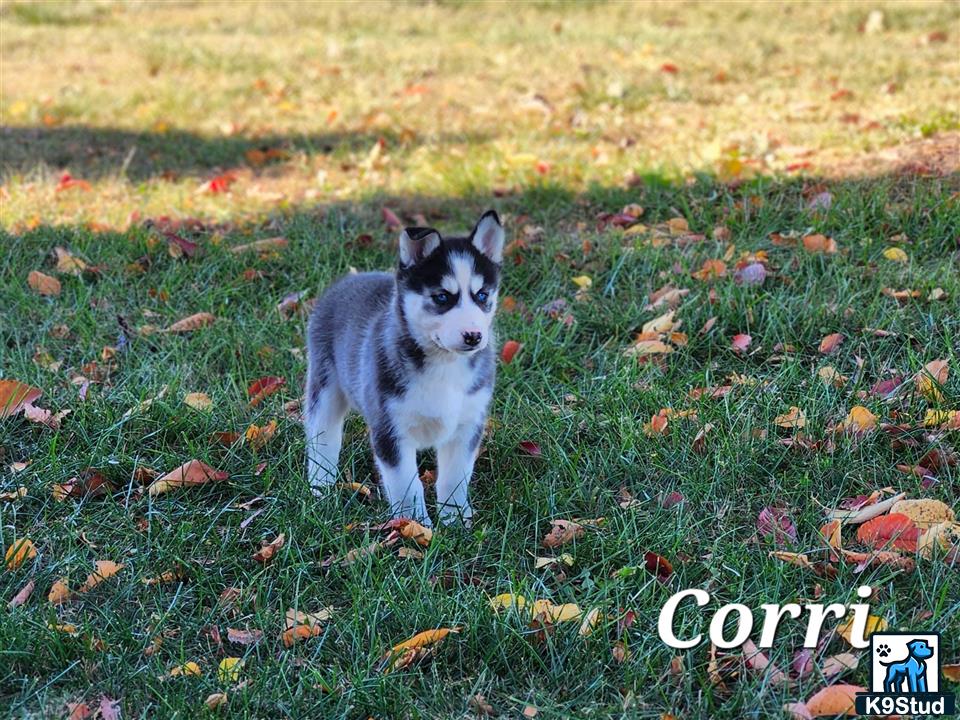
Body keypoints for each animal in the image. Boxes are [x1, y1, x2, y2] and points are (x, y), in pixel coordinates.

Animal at [306, 211, 502, 524]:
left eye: (482, 295)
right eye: (442, 297)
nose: (474, 336)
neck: (444, 366)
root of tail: (349, 279)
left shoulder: (467, 425)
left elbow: (454, 477)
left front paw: (456, 520)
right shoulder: (390, 430)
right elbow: (408, 486)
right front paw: (416, 526)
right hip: (325, 385)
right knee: (322, 436)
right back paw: (320, 486)